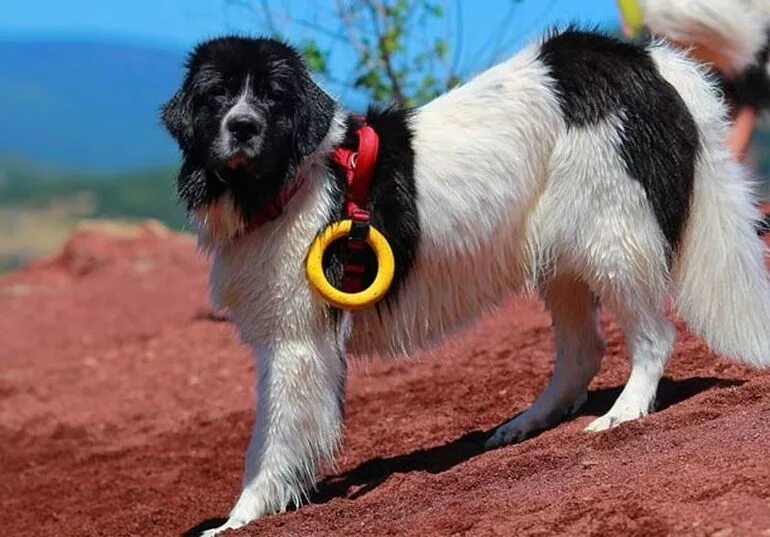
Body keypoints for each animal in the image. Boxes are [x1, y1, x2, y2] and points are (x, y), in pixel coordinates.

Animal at [160, 30, 768, 536]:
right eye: (217, 96)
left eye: (272, 97)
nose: (242, 126)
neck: (292, 179)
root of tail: (645, 60)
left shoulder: (295, 341)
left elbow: (269, 441)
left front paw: (240, 519)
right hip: (562, 252)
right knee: (582, 350)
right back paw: (529, 422)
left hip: (613, 235)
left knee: (652, 337)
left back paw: (624, 412)